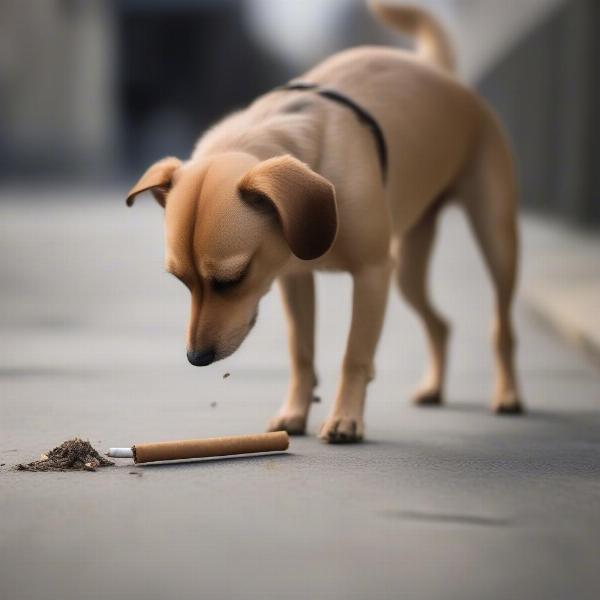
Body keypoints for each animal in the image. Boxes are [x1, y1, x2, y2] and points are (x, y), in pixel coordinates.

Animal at [127, 2, 524, 442]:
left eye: (233, 278)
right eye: (181, 281)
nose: (196, 358)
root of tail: (440, 73)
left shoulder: (372, 273)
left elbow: (355, 355)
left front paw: (345, 418)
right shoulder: (295, 280)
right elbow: (301, 353)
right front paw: (294, 413)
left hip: (494, 239)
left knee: (502, 326)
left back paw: (508, 394)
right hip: (408, 273)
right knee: (441, 324)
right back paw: (434, 387)